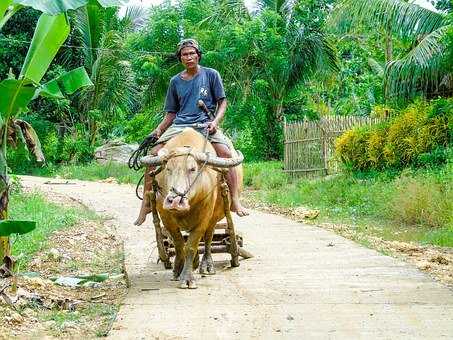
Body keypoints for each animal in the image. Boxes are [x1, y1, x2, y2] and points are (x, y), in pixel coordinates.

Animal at [140, 129, 244, 288]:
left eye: (192, 169)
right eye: (168, 169)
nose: (174, 202)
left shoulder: (204, 218)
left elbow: (191, 245)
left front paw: (187, 278)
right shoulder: (166, 218)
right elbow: (179, 244)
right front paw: (178, 270)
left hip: (214, 217)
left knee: (208, 238)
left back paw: (207, 266)